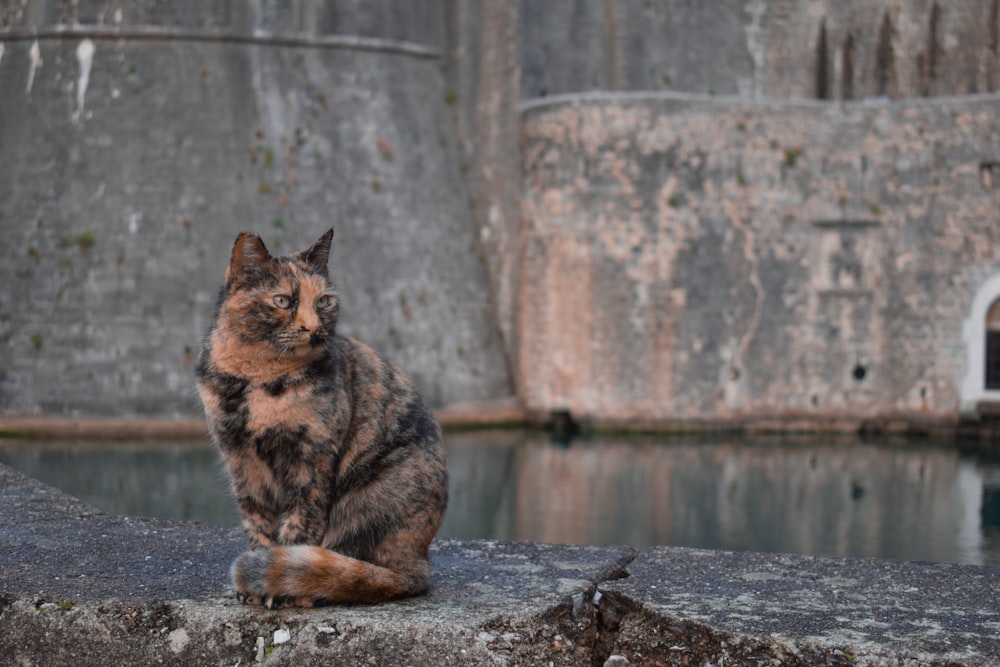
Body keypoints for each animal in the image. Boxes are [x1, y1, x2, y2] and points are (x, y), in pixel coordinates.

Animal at [195, 231, 446, 612]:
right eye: (283, 300)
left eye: (324, 301)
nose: (313, 329)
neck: (255, 380)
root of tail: (418, 565)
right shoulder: (241, 461)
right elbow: (257, 523)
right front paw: (255, 582)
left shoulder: (311, 459)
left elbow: (299, 527)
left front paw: (276, 586)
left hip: (369, 494)